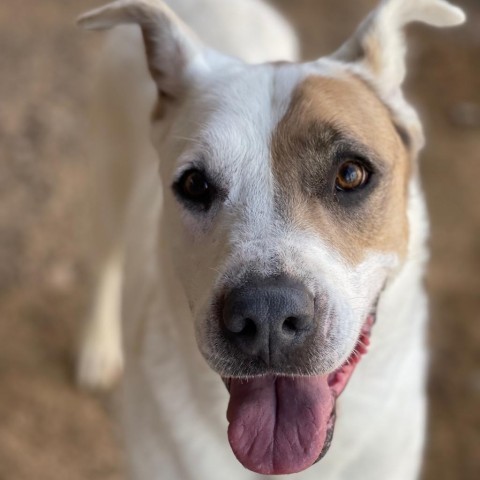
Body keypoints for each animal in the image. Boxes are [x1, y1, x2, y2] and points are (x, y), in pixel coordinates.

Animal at [76, 0, 464, 478]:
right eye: (195, 184)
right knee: (104, 267)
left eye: (351, 174)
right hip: (107, 182)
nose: (266, 315)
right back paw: (97, 348)